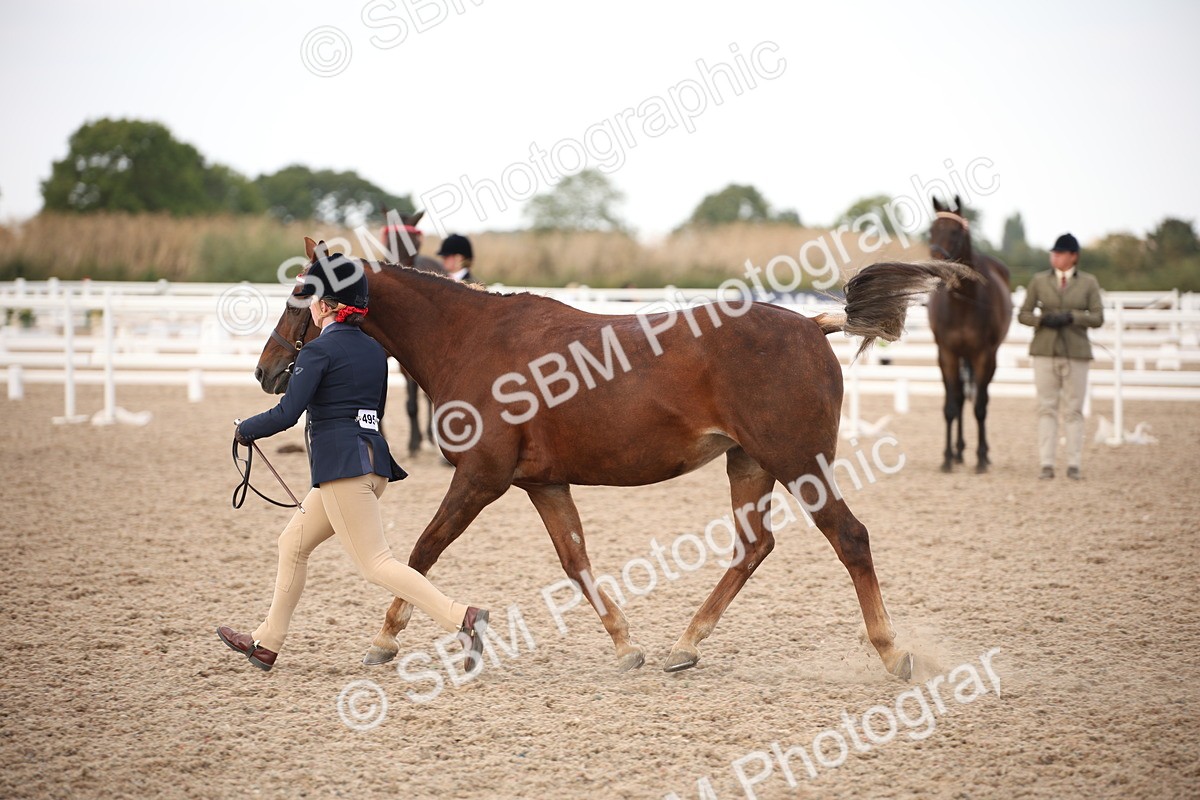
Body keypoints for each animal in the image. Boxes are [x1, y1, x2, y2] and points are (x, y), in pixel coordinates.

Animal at [256, 237, 971, 678]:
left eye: (300, 296)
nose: (266, 371)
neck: (473, 338)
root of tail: (811, 325)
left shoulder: (481, 479)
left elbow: (420, 552)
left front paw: (383, 641)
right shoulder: (543, 485)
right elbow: (576, 563)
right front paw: (628, 648)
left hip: (798, 462)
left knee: (849, 538)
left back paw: (892, 654)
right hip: (750, 465)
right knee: (753, 547)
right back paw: (684, 646)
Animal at [927, 196, 1013, 473]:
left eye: (955, 232)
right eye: (932, 230)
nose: (936, 266)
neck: (963, 303)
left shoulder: (983, 356)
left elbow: (981, 407)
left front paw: (982, 457)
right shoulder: (947, 354)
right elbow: (951, 406)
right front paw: (946, 458)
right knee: (959, 397)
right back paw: (957, 451)